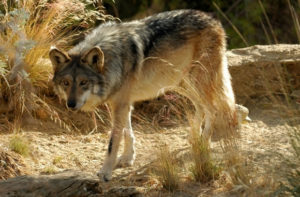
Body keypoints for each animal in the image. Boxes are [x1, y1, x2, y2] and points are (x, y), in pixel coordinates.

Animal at [49, 9, 238, 182]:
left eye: (83, 82)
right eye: (66, 83)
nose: (71, 104)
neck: (112, 60)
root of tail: (212, 18)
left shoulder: (121, 104)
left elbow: (113, 141)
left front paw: (106, 172)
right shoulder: (121, 103)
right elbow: (127, 132)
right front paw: (128, 158)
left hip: (197, 81)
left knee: (213, 109)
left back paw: (203, 143)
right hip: (181, 84)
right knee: (201, 107)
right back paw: (194, 138)